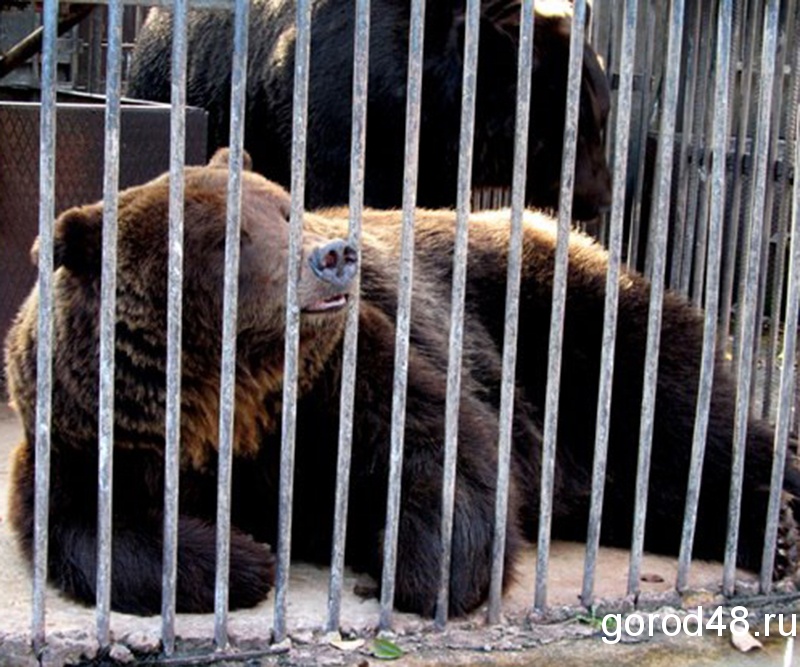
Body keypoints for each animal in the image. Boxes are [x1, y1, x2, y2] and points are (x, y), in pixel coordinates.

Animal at [6, 150, 800, 616]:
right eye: (228, 237)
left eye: (287, 208)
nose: (333, 255)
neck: (230, 393)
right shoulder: (98, 425)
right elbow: (85, 523)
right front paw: (242, 556)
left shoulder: (342, 373)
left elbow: (441, 452)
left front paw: (407, 568)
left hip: (569, 319)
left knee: (682, 421)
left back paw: (777, 523)